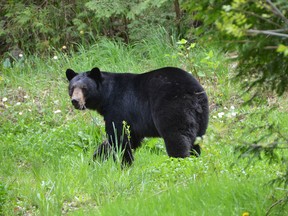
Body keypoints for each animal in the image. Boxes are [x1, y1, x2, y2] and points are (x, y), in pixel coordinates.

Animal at [66, 67, 208, 165]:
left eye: (84, 88)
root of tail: (193, 93)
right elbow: (125, 139)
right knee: (195, 140)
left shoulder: (119, 109)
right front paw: (94, 161)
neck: (106, 97)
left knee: (176, 138)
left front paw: (124, 165)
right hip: (200, 116)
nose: (75, 101)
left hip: (172, 108)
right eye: (72, 88)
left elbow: (118, 138)